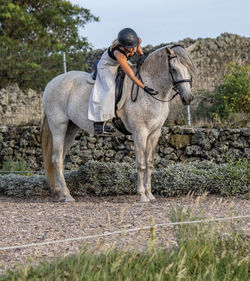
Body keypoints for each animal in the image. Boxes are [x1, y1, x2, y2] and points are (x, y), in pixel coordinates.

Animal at [41, 43, 197, 201]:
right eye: (174, 69)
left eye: (189, 69)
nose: (188, 98)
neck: (148, 90)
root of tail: (51, 83)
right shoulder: (140, 133)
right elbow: (140, 163)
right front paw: (142, 195)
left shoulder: (154, 133)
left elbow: (149, 163)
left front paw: (150, 194)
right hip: (59, 128)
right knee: (57, 159)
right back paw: (67, 195)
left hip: (71, 130)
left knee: (58, 159)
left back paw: (60, 193)